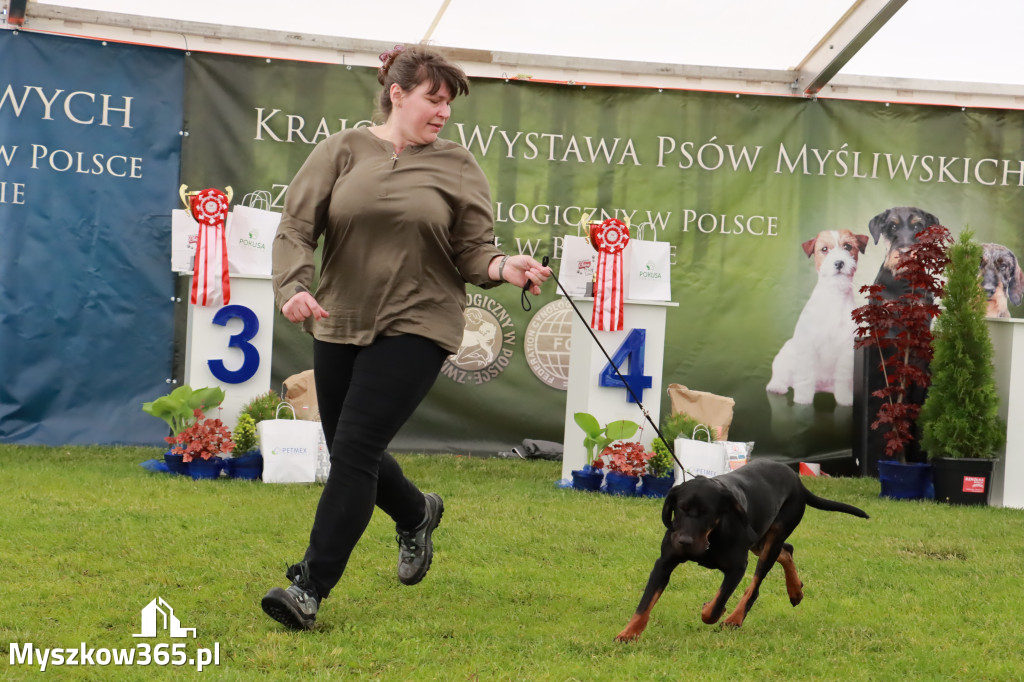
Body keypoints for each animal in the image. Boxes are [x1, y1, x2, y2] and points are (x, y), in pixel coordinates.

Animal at [614, 456, 864, 638]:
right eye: (680, 508)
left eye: (707, 513)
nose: (683, 541)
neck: (712, 536)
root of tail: (797, 479)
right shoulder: (664, 563)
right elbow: (645, 603)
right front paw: (628, 633)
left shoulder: (737, 567)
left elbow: (715, 607)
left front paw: (711, 609)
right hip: (759, 538)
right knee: (787, 550)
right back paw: (795, 590)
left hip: (773, 537)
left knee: (756, 584)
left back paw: (735, 618)